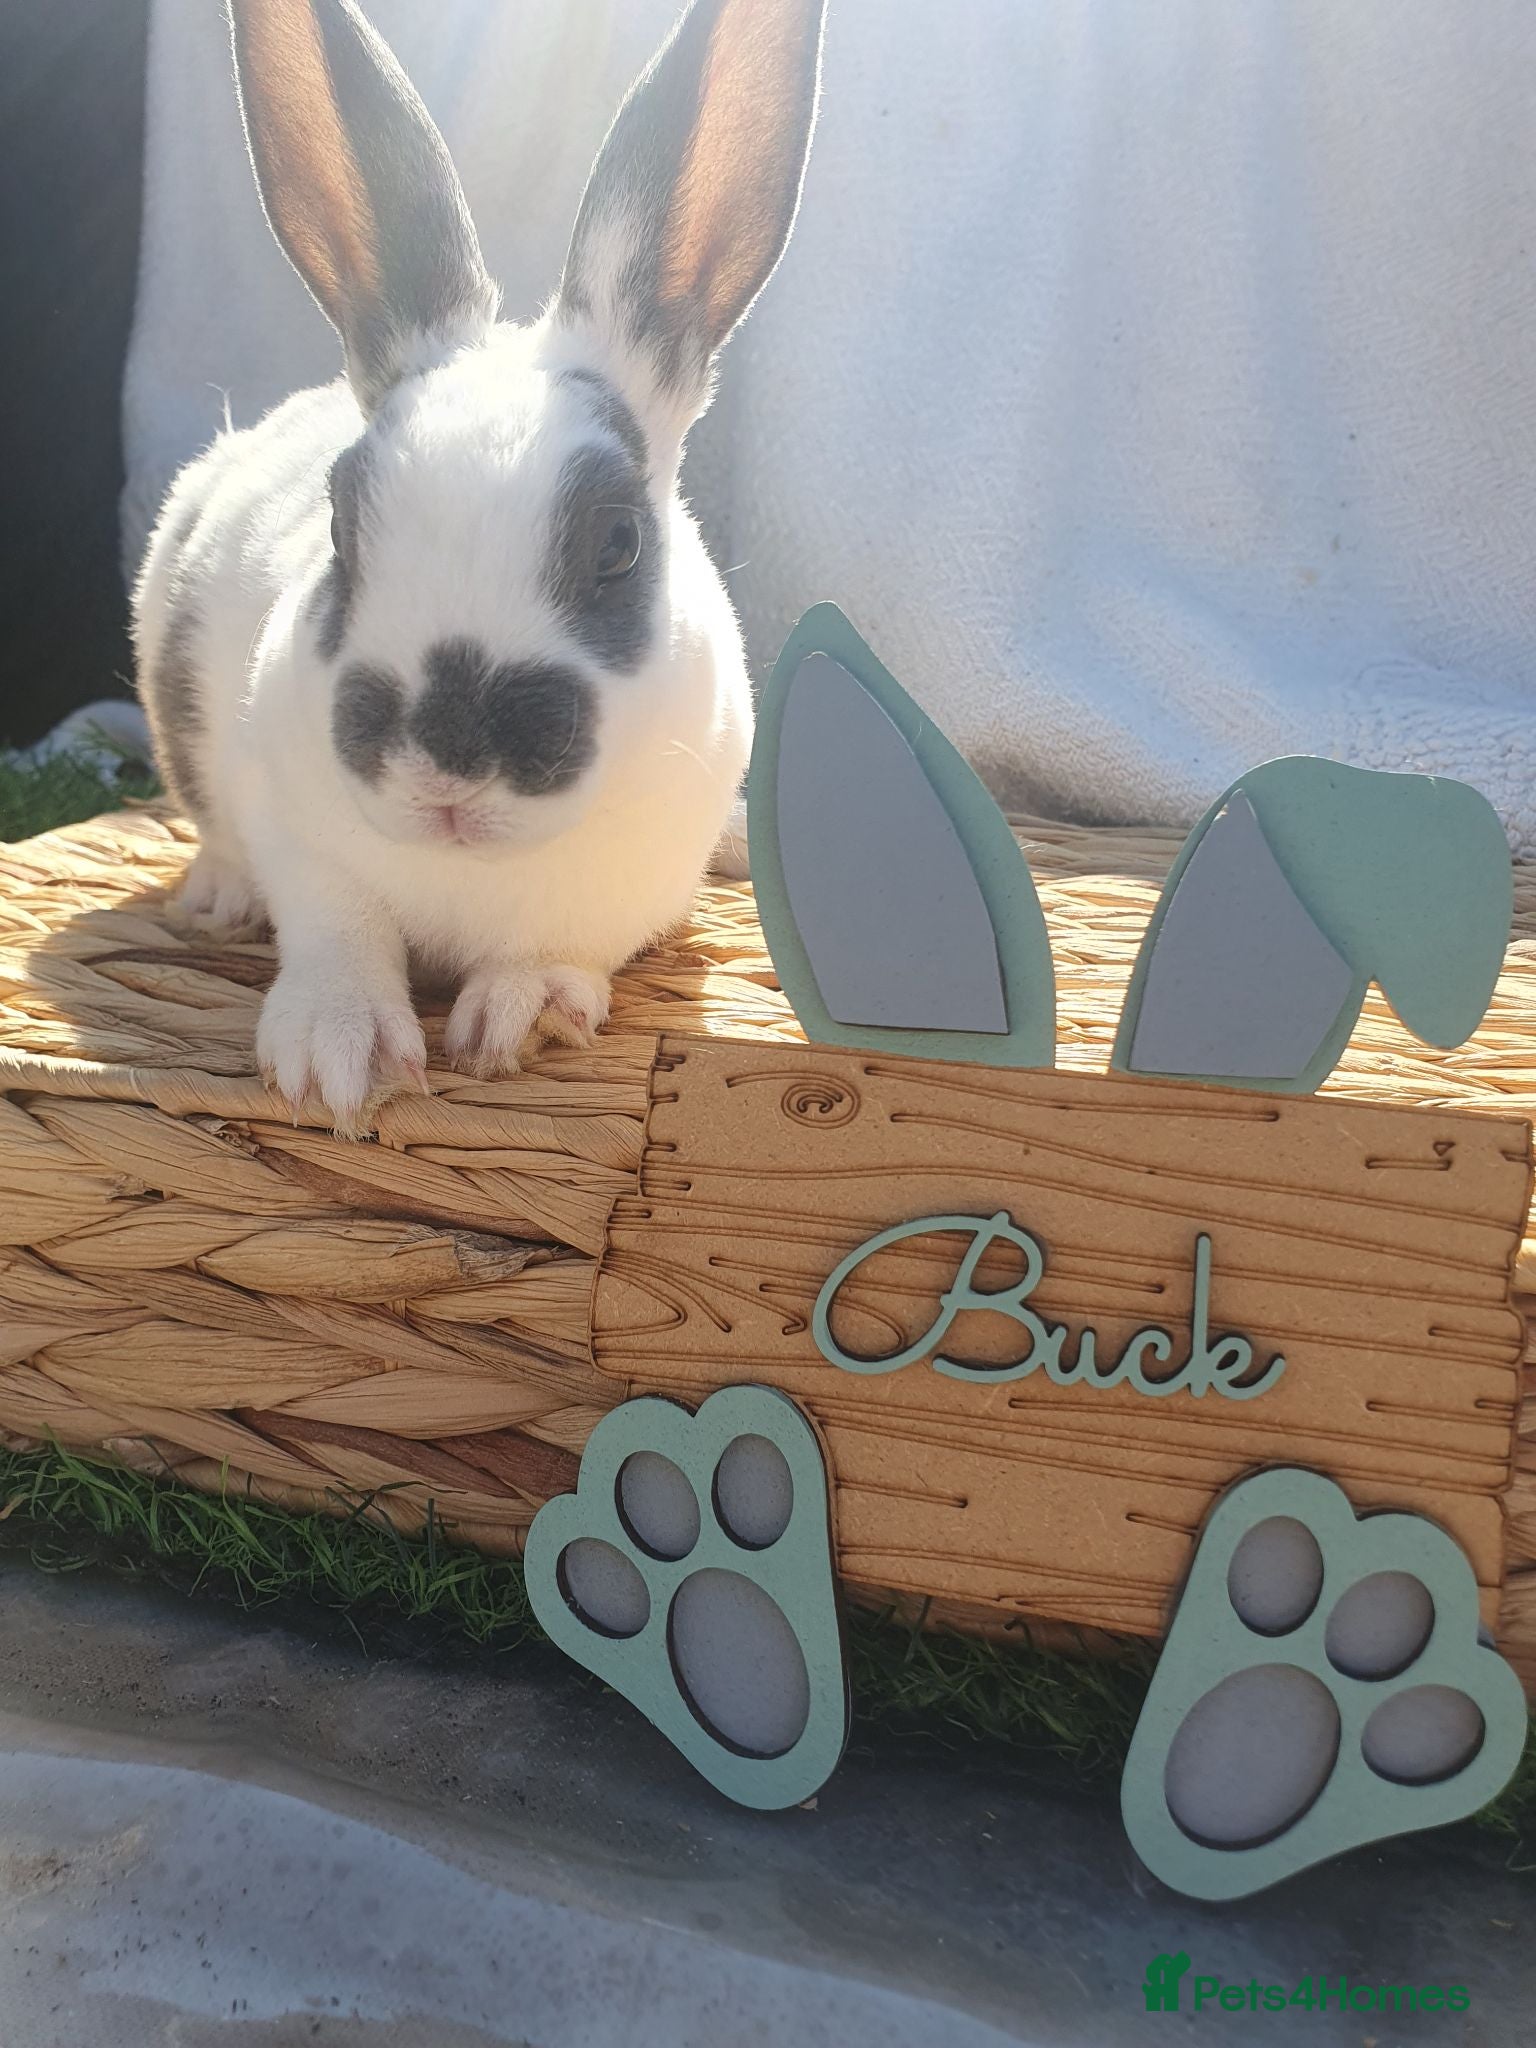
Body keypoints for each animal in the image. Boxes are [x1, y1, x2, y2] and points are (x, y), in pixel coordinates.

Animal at [133, 0, 825, 1131]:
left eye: (619, 544)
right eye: (341, 522)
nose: (446, 764)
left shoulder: (620, 890)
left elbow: (557, 951)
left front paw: (522, 1019)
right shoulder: (300, 837)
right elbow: (339, 932)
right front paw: (338, 1056)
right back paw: (220, 897)